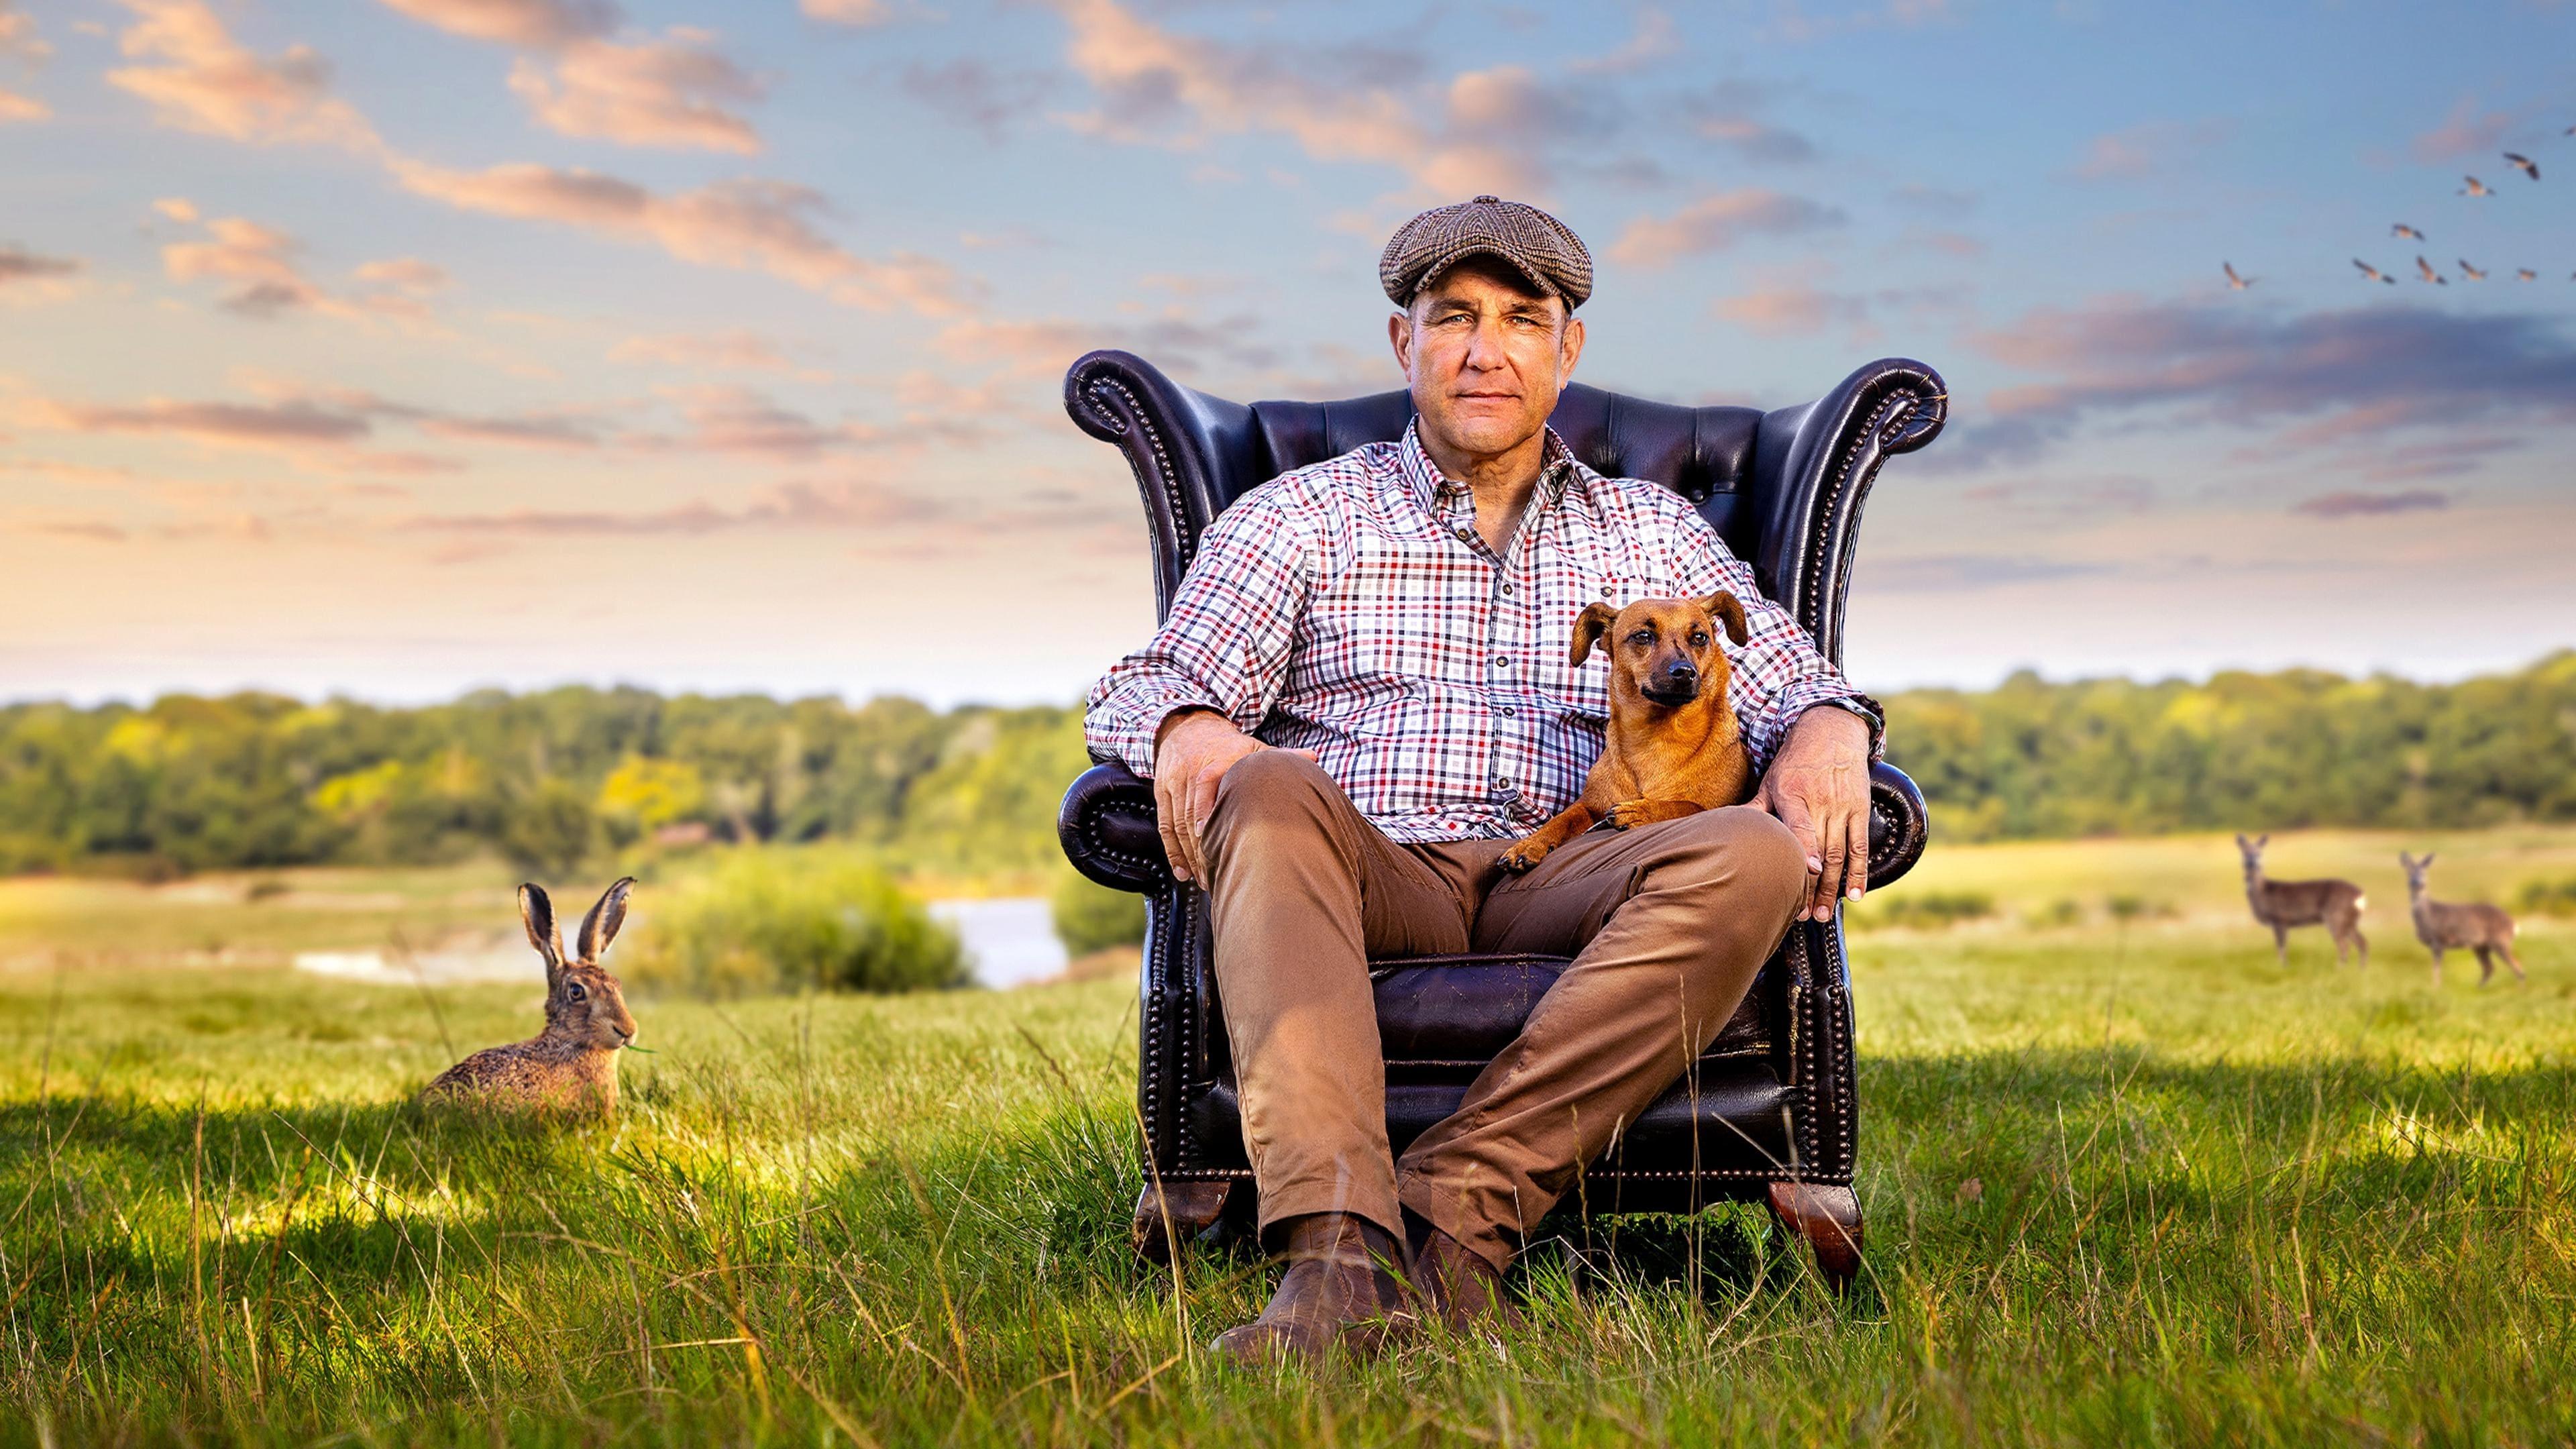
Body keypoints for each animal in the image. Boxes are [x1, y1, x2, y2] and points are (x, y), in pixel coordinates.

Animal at [1504, 590, 1762, 866]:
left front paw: (1641, 810)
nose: (1685, 672)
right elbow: (1565, 818)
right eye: (1643, 636)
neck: (1659, 735)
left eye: (1700, 637)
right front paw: (1531, 843)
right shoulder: (1591, 806)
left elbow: (1685, 807)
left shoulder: (1715, 806)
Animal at [2236, 830, 2369, 964]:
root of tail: (2360, 894)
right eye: (2245, 852)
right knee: (2362, 942)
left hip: (2336, 915)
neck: (2263, 891)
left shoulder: (2280, 918)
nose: (2252, 863)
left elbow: (2281, 947)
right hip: (2349, 920)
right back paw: (2361, 968)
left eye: (2259, 853)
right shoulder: (2281, 922)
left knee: (2345, 946)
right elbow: (2282, 947)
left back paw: (2339, 967)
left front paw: (2283, 965)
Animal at [2380, 851, 2524, 985]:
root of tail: (2513, 924)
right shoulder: (2436, 944)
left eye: (2424, 872)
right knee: (2490, 968)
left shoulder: (2439, 940)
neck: (2428, 914)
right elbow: (2436, 967)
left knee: (2517, 966)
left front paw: (2436, 987)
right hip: (2481, 946)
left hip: (2500, 941)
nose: (2419, 883)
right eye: (2409, 872)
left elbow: (2436, 967)